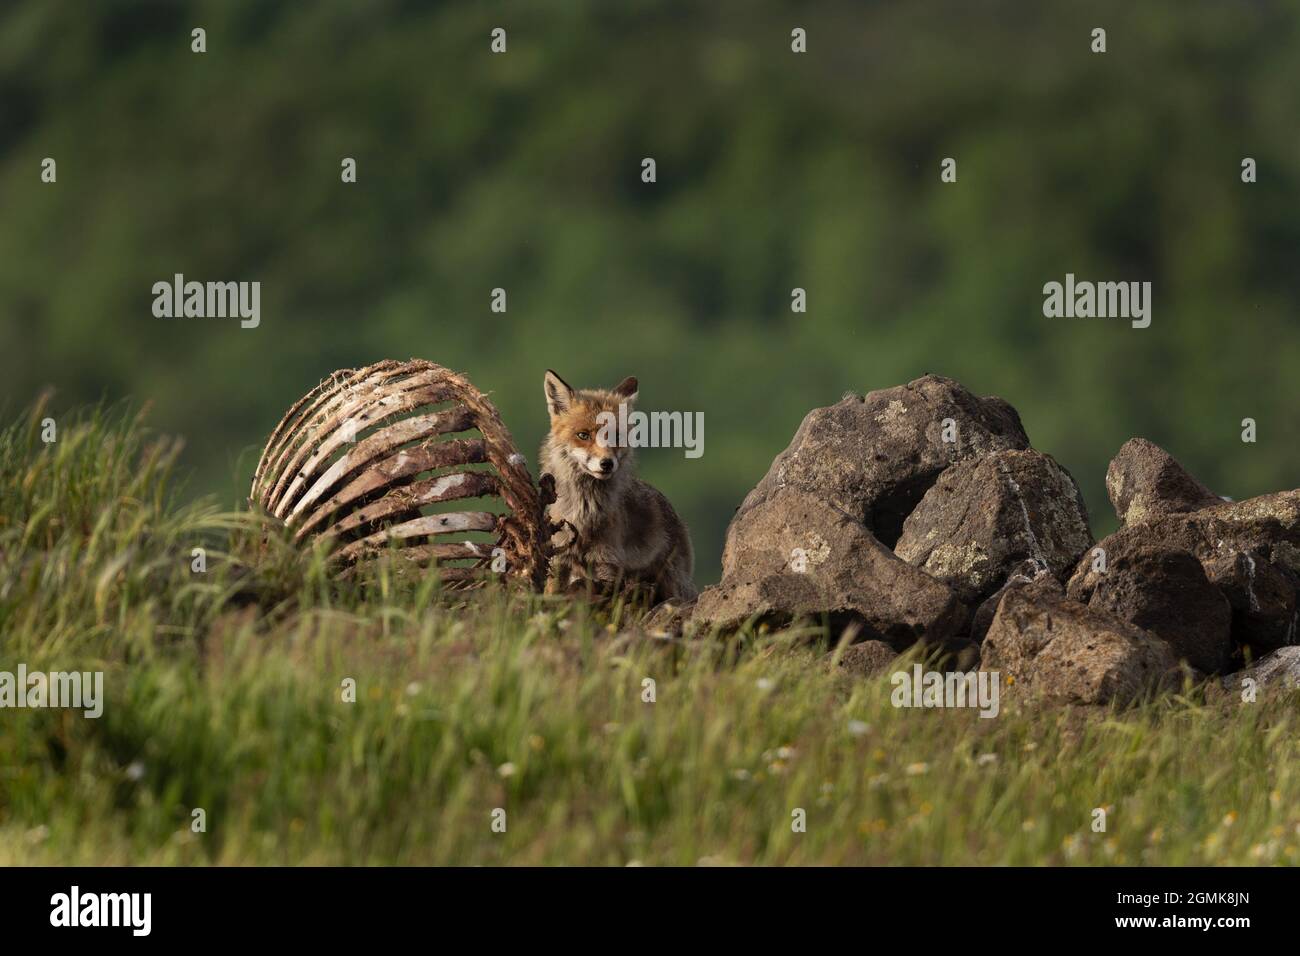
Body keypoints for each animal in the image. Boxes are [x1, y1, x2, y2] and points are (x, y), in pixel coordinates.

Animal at [540, 369, 697, 605]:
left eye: (616, 436)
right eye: (583, 435)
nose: (606, 463)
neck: (584, 512)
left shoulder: (607, 563)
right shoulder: (560, 557)